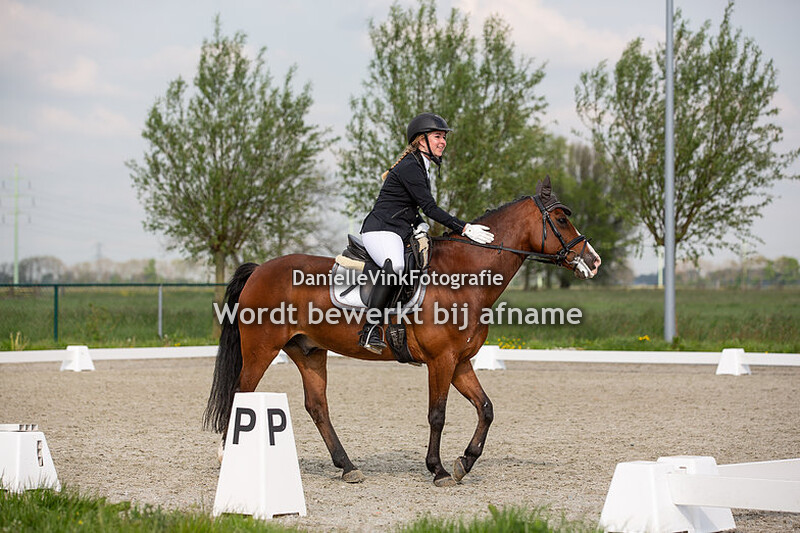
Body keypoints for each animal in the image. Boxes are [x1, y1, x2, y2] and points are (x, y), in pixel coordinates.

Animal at [204, 176, 601, 487]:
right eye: (561, 219)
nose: (593, 261)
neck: (462, 276)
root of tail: (259, 270)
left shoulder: (460, 362)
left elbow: (486, 408)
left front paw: (465, 461)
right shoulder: (441, 361)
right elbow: (437, 415)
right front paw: (439, 470)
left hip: (308, 351)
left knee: (317, 407)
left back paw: (347, 467)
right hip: (262, 349)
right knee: (241, 394)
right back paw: (230, 457)